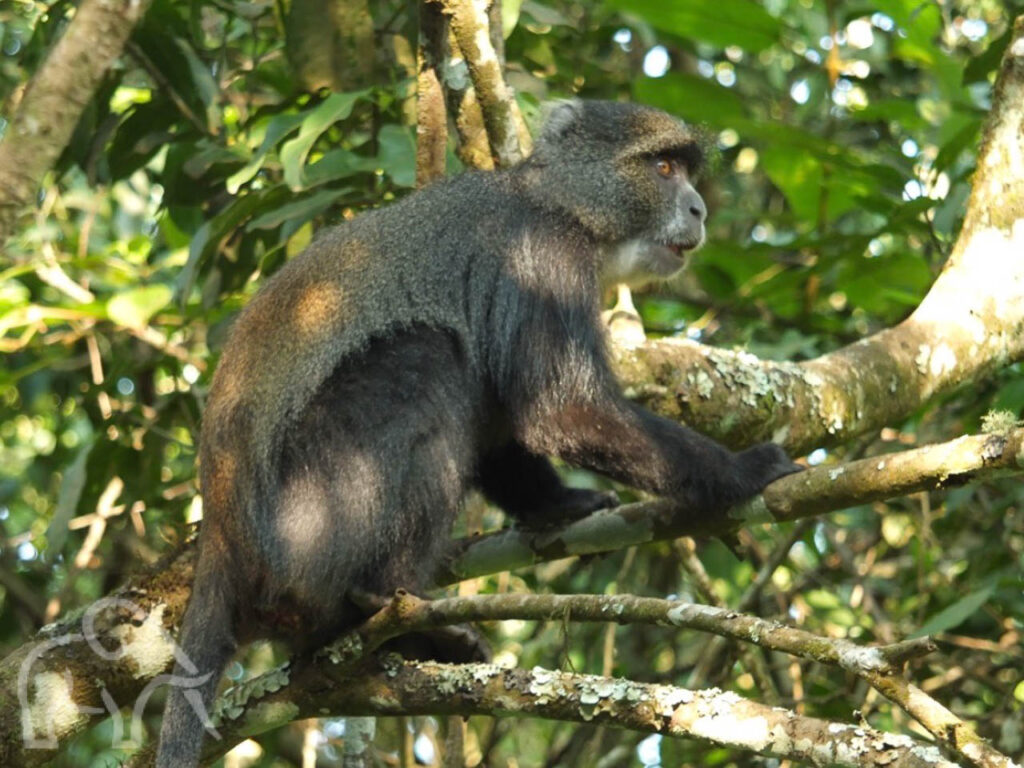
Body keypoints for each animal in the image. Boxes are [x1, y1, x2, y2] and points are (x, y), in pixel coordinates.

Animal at [157, 102, 798, 768]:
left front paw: (560, 503)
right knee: (428, 358)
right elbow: (562, 409)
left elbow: (502, 423)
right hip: (305, 527)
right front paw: (742, 470)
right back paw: (378, 609)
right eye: (664, 167)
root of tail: (222, 547)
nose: (698, 209)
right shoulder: (542, 259)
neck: (557, 200)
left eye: (686, 170)